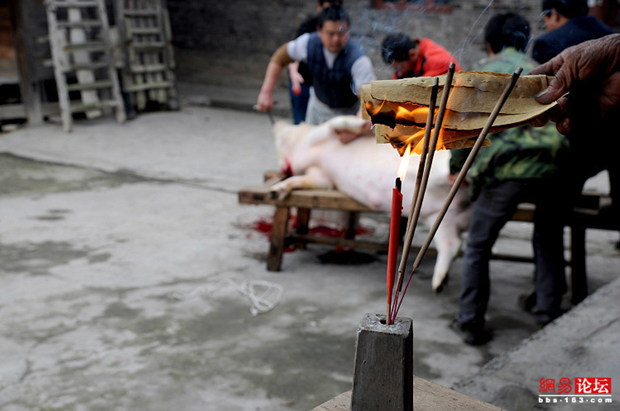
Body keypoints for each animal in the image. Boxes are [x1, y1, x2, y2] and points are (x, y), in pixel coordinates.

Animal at [270, 115, 472, 292]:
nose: (276, 123)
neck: (304, 149)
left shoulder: (324, 132)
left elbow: (340, 122)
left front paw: (365, 124)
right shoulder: (321, 176)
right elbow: (302, 180)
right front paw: (275, 191)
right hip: (440, 219)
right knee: (452, 245)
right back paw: (438, 286)